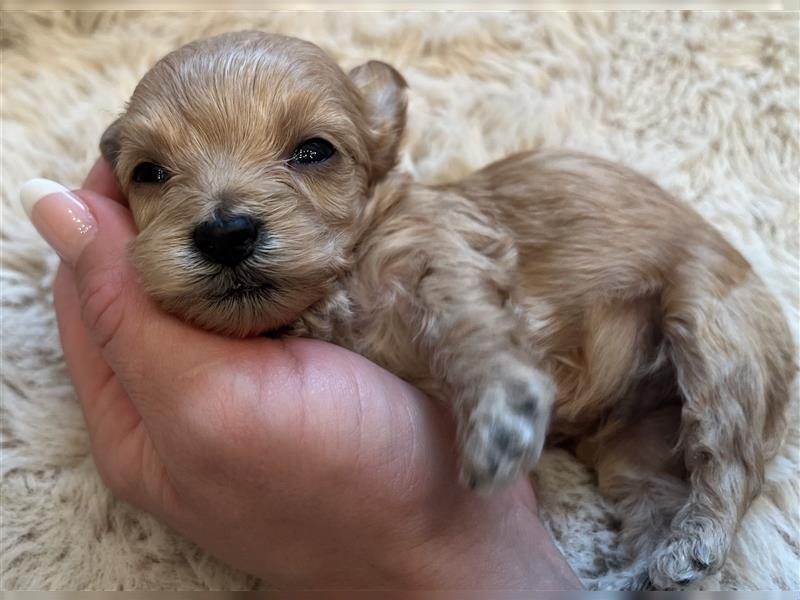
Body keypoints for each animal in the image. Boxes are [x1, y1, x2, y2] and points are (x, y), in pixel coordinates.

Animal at [98, 30, 792, 588]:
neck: (351, 273)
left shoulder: (446, 254)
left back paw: (693, 543)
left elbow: (473, 333)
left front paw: (501, 421)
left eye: (314, 150)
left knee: (731, 463)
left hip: (715, 330)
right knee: (656, 493)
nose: (225, 233)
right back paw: (640, 575)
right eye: (150, 172)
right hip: (634, 447)